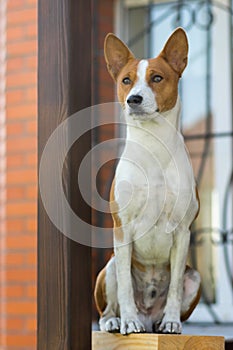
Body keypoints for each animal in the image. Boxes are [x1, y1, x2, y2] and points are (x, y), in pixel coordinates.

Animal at [93, 26, 201, 334]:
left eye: (157, 78)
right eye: (126, 81)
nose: (134, 99)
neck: (154, 145)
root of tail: (148, 316)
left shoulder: (182, 232)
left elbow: (174, 287)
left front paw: (173, 321)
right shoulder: (122, 229)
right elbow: (126, 288)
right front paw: (128, 321)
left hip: (195, 277)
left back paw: (161, 322)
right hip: (110, 266)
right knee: (108, 307)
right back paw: (116, 321)